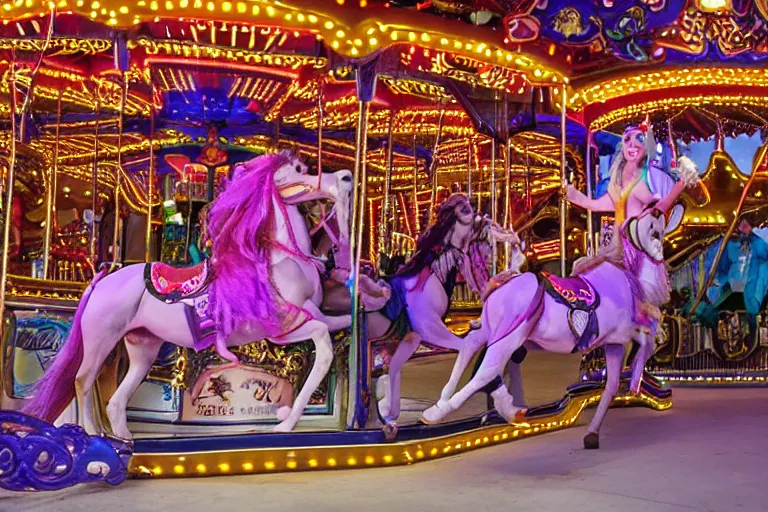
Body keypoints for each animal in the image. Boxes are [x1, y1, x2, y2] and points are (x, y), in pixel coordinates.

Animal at [24, 151, 354, 436]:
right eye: (300, 170)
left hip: (143, 346)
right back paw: (96, 436)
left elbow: (337, 325)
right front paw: (285, 422)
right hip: (101, 337)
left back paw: (125, 440)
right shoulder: (280, 328)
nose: (346, 177)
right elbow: (323, 346)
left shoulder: (313, 313)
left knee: (116, 399)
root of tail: (102, 279)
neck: (281, 261)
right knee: (83, 381)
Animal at [424, 204, 668, 448]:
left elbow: (612, 384)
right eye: (653, 228)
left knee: (470, 353)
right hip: (505, 339)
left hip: (494, 334)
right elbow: (648, 333)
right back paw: (446, 412)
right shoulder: (621, 331)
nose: (657, 210)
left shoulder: (614, 342)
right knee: (485, 371)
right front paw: (637, 376)